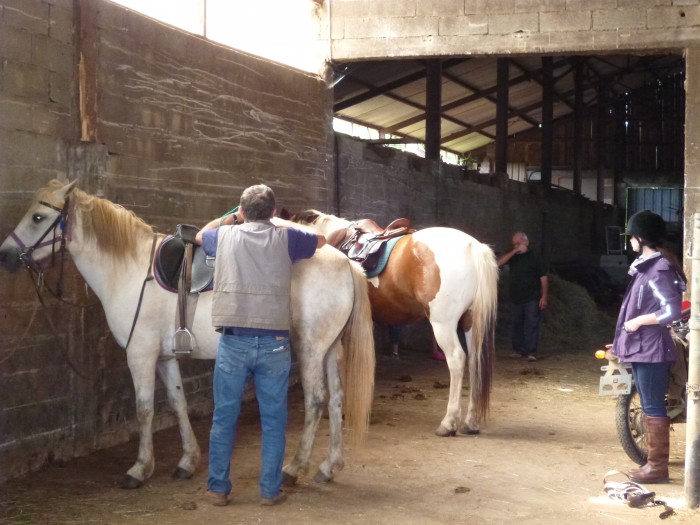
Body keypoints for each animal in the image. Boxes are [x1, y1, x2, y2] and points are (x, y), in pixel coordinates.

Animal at [0, 179, 378, 488]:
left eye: (38, 217)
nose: (5, 255)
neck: (130, 271)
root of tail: (347, 263)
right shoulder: (164, 357)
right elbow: (177, 403)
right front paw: (187, 462)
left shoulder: (139, 355)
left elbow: (144, 409)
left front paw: (139, 469)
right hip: (329, 350)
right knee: (336, 399)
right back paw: (329, 466)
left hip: (311, 349)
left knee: (315, 401)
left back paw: (293, 467)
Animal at [284, 209, 498, 434]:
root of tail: (474, 248)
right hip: (470, 322)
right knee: (475, 361)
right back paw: (470, 422)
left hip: (444, 324)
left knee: (457, 360)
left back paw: (448, 423)